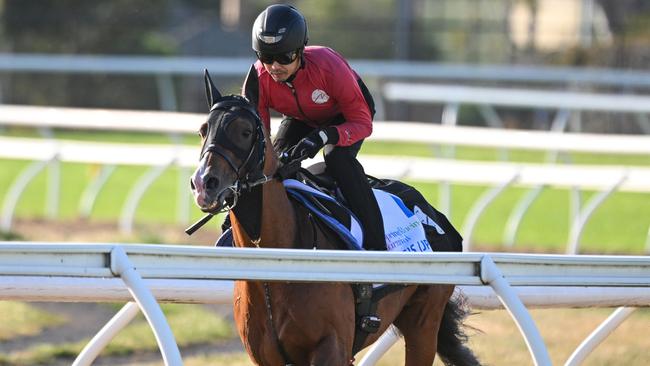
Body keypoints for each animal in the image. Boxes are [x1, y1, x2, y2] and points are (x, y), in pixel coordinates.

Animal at [190, 68, 478, 366]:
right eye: (203, 130)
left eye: (245, 132)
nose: (204, 184)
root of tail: (432, 214)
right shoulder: (266, 357)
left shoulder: (331, 347)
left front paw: (313, 141)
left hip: (424, 321)